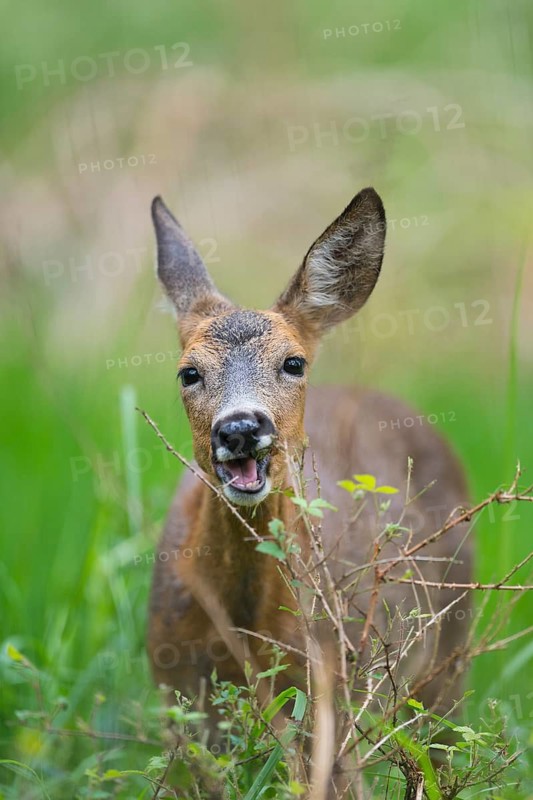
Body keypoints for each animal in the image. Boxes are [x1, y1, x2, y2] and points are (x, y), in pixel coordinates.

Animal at [147, 187, 472, 739]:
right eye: (188, 372)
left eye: (293, 362)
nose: (240, 428)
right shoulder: (175, 690)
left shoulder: (333, 689)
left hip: (449, 653)